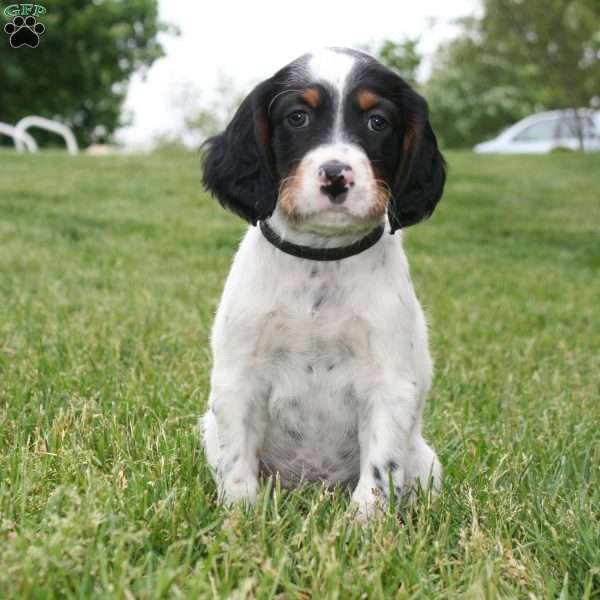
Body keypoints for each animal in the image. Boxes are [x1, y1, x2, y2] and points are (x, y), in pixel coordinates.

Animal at [202, 48, 446, 516]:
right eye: (297, 117)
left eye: (378, 122)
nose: (336, 176)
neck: (322, 260)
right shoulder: (238, 376)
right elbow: (237, 463)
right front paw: (241, 519)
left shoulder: (390, 383)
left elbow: (379, 472)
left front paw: (365, 525)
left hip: (426, 462)